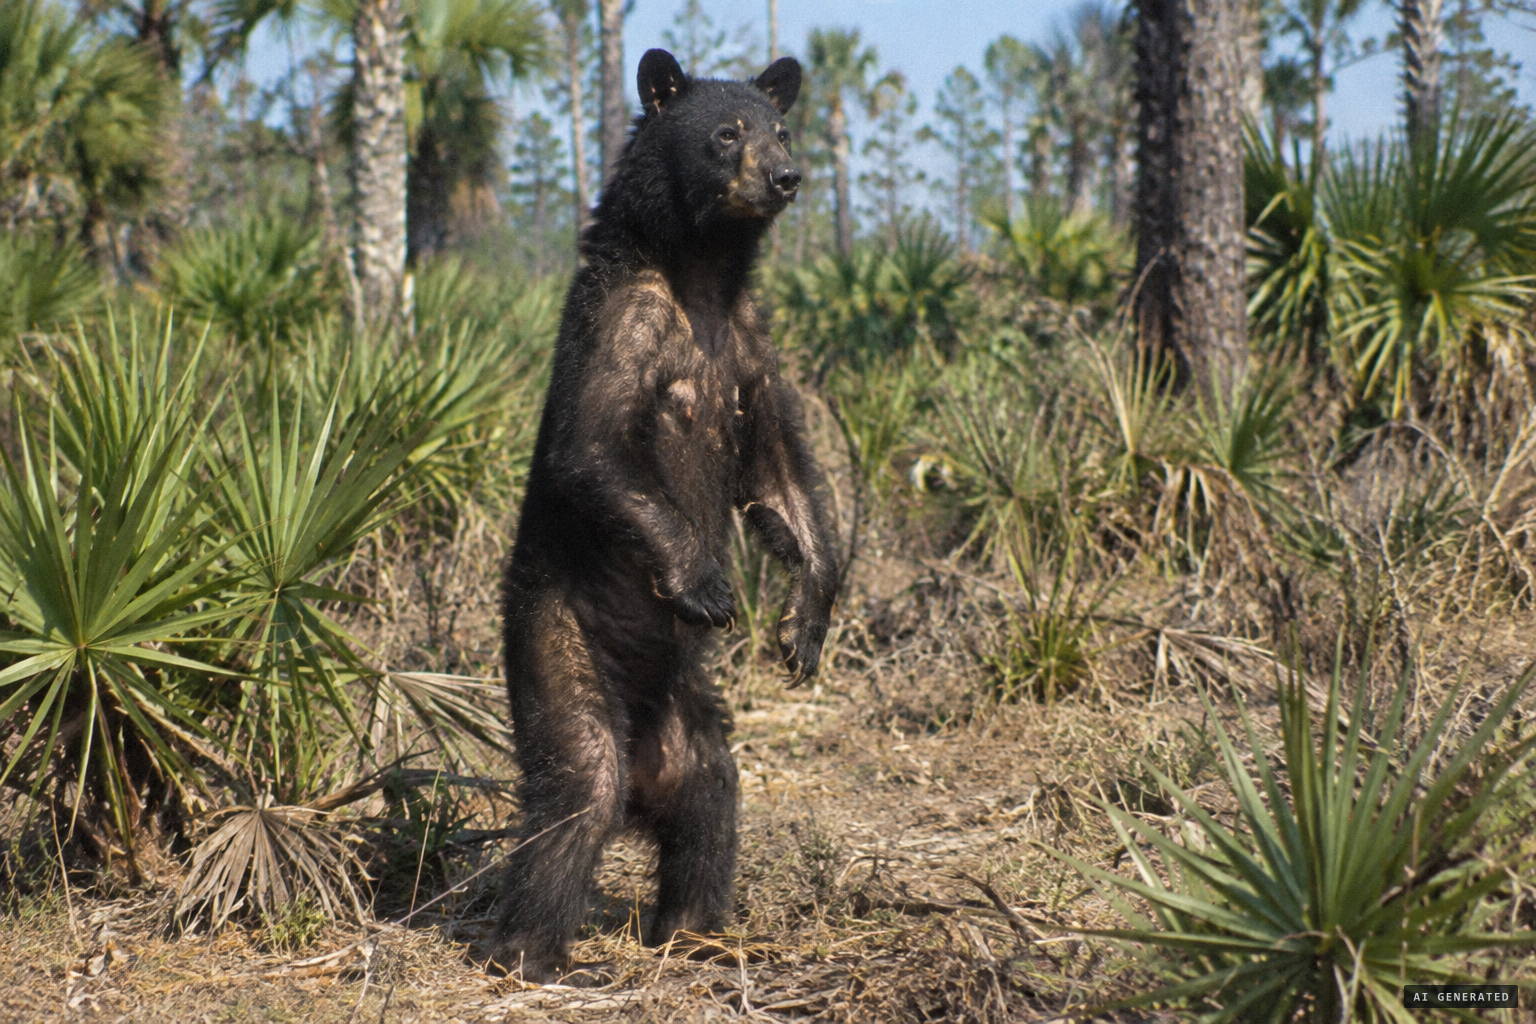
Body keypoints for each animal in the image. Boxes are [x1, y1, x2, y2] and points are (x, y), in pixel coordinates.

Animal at [490, 48, 839, 981]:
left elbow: (783, 476)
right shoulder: (626, 324)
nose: (787, 177)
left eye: (781, 127)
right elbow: (593, 448)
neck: (701, 270)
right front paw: (707, 586)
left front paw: (807, 623)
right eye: (726, 133)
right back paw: (539, 953)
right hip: (557, 636)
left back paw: (697, 927)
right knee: (580, 785)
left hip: (689, 718)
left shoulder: (752, 346)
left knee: (712, 799)